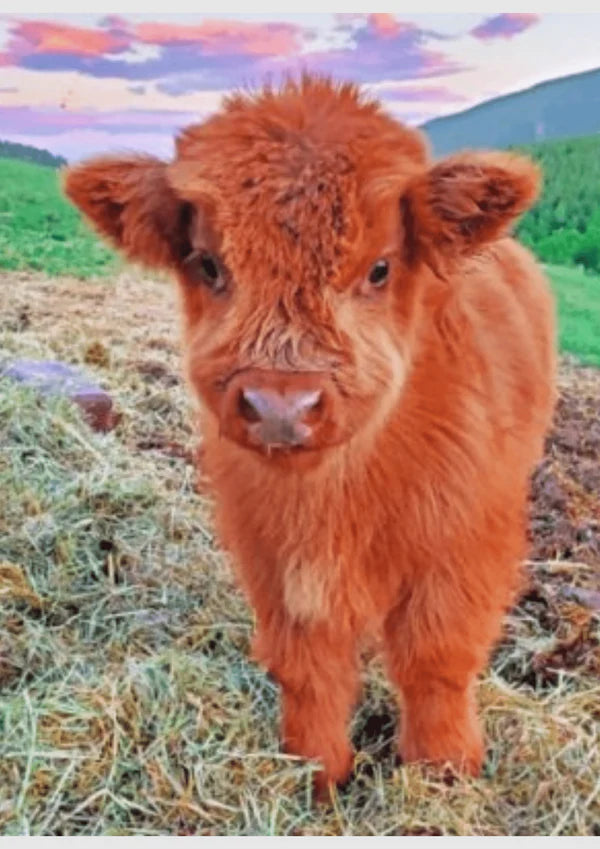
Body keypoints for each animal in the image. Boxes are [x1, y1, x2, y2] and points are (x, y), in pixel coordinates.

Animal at [64, 76, 556, 800]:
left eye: (379, 268)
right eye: (208, 264)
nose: (280, 405)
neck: (339, 496)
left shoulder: (464, 543)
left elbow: (436, 655)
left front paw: (442, 771)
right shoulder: (271, 551)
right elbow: (308, 663)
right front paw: (316, 773)